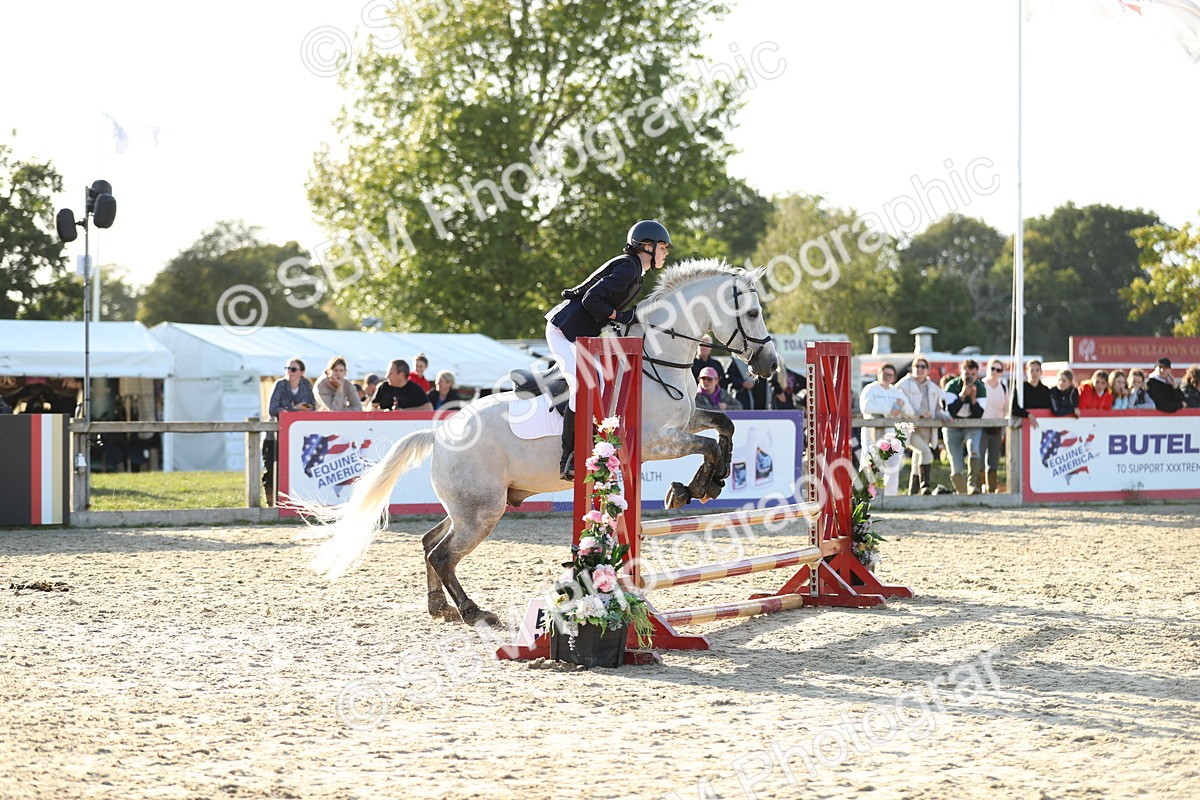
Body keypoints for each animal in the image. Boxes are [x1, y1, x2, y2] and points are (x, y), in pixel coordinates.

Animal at [296, 259, 780, 627]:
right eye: (754, 313)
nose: (771, 366)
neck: (656, 358)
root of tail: (439, 433)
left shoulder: (685, 421)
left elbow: (724, 426)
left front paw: (707, 483)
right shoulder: (657, 441)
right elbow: (709, 445)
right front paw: (692, 488)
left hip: (471, 505)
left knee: (431, 542)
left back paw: (440, 608)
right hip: (482, 511)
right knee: (444, 554)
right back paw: (474, 612)